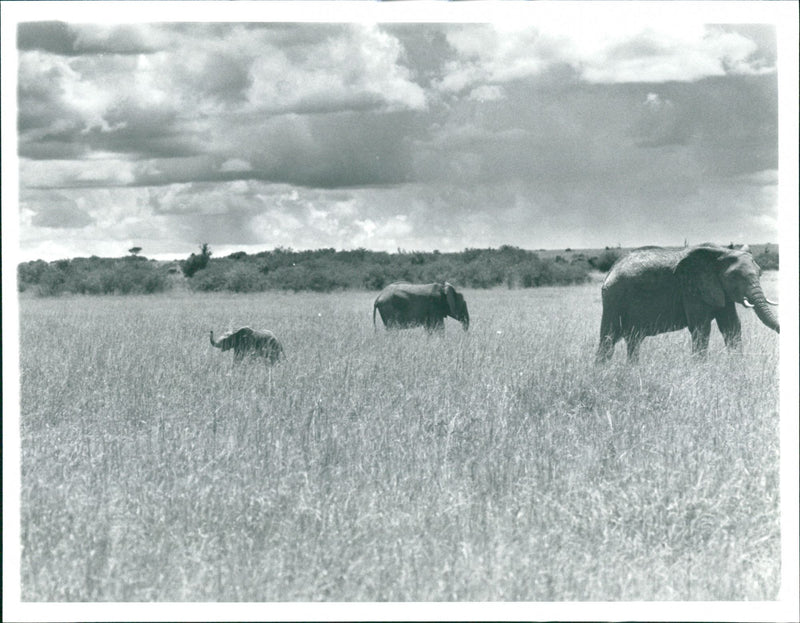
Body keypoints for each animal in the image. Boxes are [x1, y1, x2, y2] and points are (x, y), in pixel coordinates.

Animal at [596, 244, 779, 362]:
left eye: (760, 273)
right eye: (734, 277)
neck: (721, 253)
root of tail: (611, 271)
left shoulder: (720, 290)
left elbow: (731, 326)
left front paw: (737, 369)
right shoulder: (692, 289)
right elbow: (701, 328)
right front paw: (701, 371)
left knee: (633, 339)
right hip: (614, 298)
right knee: (608, 338)